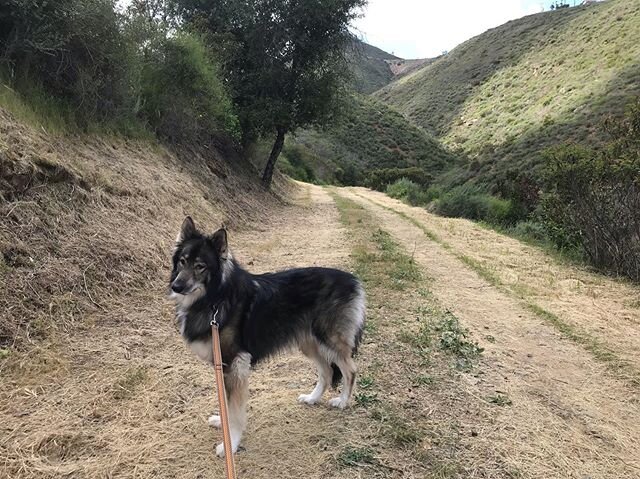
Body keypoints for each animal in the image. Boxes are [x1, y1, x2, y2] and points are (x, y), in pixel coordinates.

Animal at [169, 218, 364, 458]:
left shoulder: (235, 365)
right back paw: (312, 399)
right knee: (327, 372)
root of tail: (353, 280)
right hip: (311, 344)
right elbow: (225, 402)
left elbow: (234, 411)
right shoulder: (223, 366)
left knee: (350, 370)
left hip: (329, 341)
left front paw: (231, 443)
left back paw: (343, 402)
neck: (216, 297)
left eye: (200, 266)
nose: (176, 286)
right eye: (182, 261)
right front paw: (222, 422)